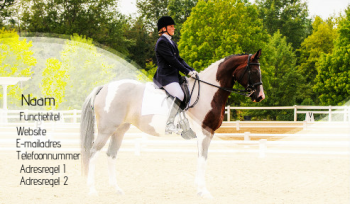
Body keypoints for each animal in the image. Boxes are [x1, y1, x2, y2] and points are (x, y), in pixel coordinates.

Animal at [80, 49, 266, 198]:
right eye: (254, 71)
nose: (260, 96)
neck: (208, 92)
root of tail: (104, 87)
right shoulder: (205, 133)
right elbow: (203, 159)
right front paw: (204, 191)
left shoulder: (204, 134)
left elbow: (200, 158)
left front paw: (199, 189)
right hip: (106, 130)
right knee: (93, 153)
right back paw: (92, 191)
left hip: (119, 130)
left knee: (111, 154)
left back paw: (117, 190)